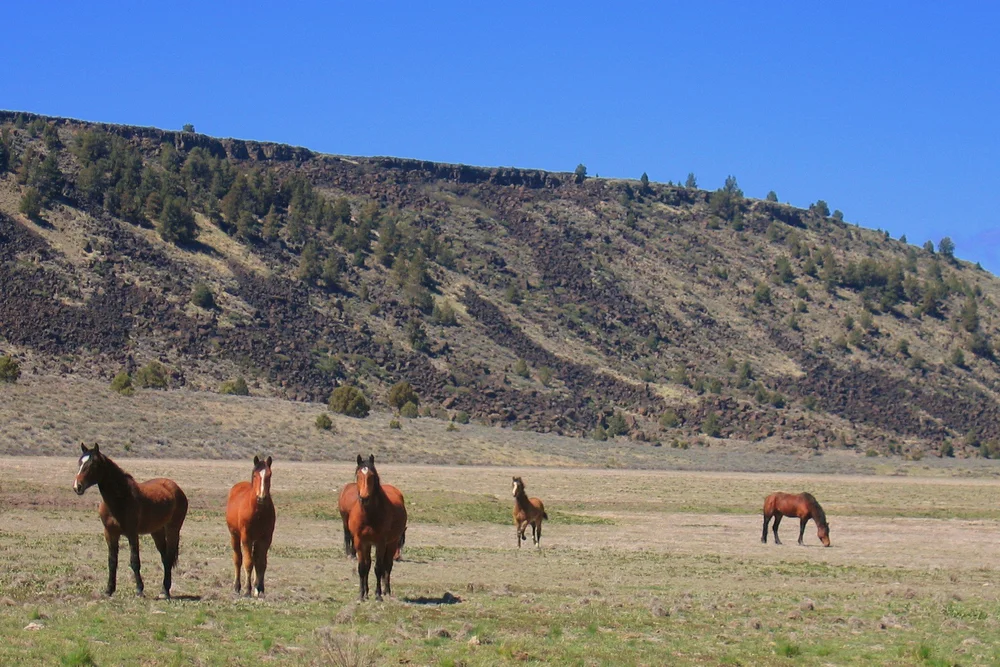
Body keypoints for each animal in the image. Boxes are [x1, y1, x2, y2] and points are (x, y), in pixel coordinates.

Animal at [72, 443, 188, 598]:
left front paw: (139, 590)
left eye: (93, 464)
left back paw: (165, 591)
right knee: (164, 558)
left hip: (173, 529)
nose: (77, 486)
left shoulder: (132, 534)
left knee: (169, 557)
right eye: (80, 462)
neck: (120, 499)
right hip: (157, 531)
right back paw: (164, 589)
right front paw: (109, 590)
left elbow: (134, 561)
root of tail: (176, 488)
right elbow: (112, 561)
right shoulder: (110, 534)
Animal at [226, 456, 276, 597]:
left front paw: (260, 588)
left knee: (256, 558)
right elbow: (248, 562)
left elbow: (261, 563)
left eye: (269, 475)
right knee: (238, 559)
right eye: (255, 475)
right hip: (234, 536)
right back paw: (237, 586)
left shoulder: (266, 538)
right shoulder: (246, 538)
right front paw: (247, 589)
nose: (261, 497)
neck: (258, 511)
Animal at [346, 454, 407, 601]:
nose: (364, 498)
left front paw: (378, 594)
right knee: (369, 565)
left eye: (372, 476)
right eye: (358, 476)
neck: (369, 515)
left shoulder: (380, 543)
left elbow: (378, 568)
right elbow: (363, 567)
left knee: (387, 566)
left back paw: (387, 591)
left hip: (392, 543)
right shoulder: (360, 542)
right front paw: (362, 594)